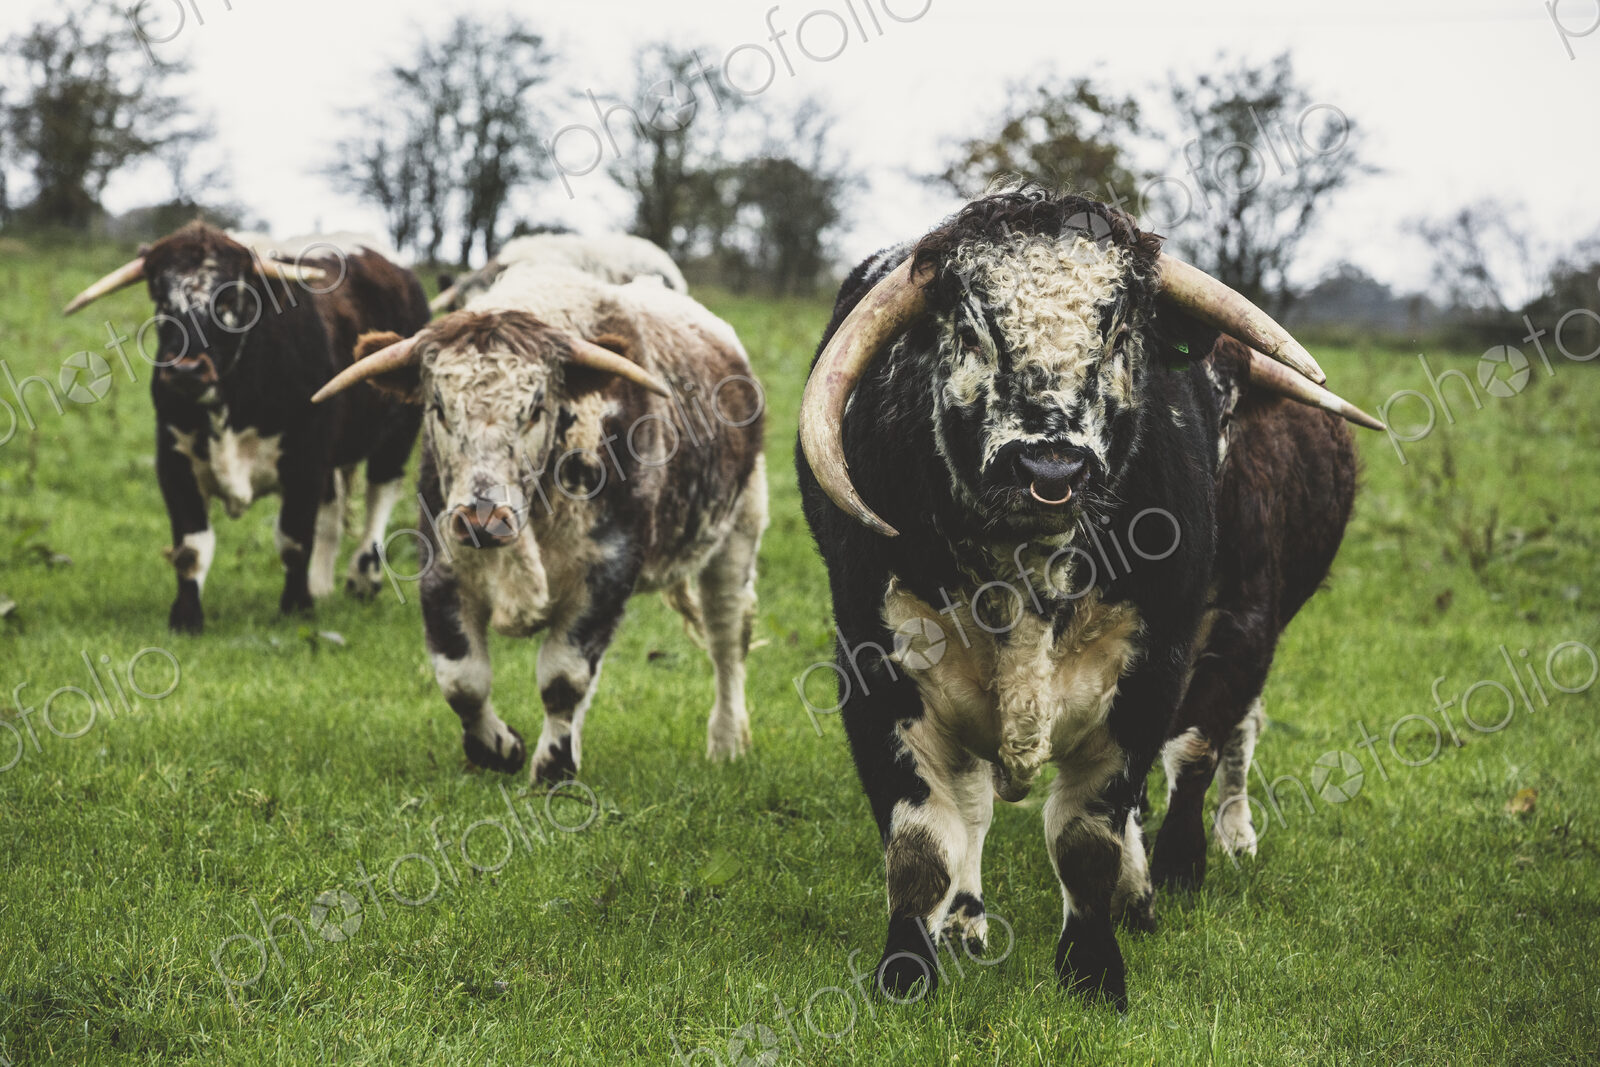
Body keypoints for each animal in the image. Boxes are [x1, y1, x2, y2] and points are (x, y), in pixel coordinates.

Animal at [62, 222, 429, 632]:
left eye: (230, 299)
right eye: (161, 299)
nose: (187, 370)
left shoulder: (305, 459)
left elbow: (294, 539)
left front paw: (297, 608)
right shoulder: (174, 460)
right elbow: (191, 548)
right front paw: (186, 617)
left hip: (397, 435)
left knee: (381, 494)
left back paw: (364, 579)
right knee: (331, 515)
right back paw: (321, 586)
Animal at [312, 260, 767, 782]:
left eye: (534, 408)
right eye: (439, 408)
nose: (482, 519)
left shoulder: (607, 573)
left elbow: (564, 678)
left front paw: (552, 768)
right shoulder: (442, 569)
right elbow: (462, 680)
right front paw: (499, 747)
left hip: (737, 538)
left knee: (727, 641)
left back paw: (727, 741)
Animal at [794, 185, 1381, 1008]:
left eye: (1119, 330)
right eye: (971, 328)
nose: (1050, 464)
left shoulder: (1171, 661)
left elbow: (1098, 827)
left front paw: (1104, 956)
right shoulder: (876, 668)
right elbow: (921, 841)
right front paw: (908, 968)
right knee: (970, 803)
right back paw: (967, 918)